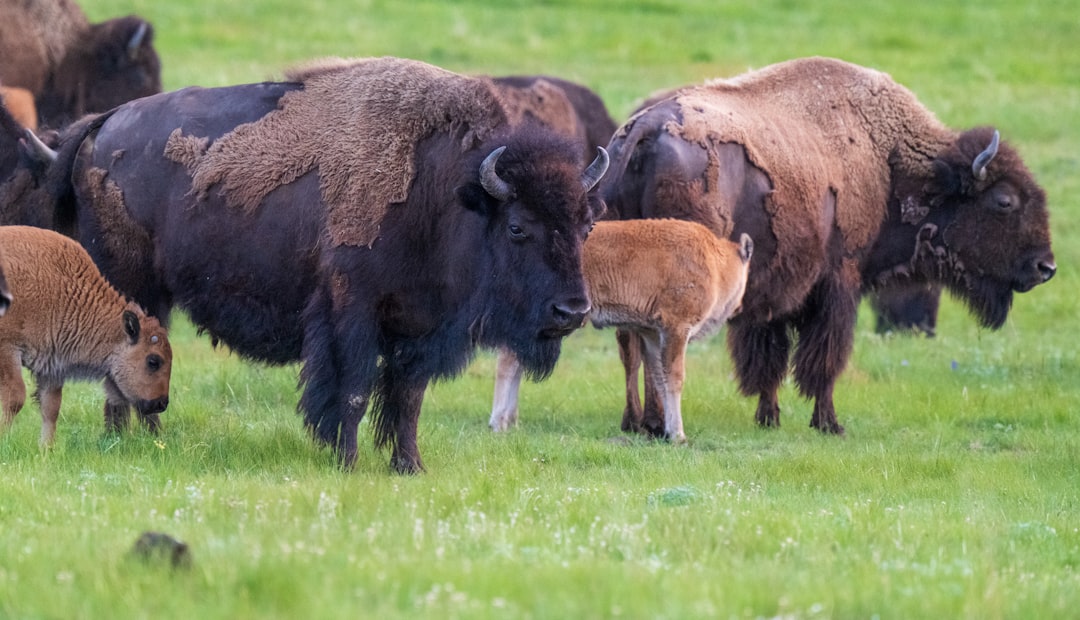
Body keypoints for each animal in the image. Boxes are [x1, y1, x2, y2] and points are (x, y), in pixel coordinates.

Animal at [26, 56, 608, 473]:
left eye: (587, 225)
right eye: (518, 227)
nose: (572, 311)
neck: (446, 192)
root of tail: (105, 124)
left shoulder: (417, 328)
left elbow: (407, 399)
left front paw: (410, 466)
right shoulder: (352, 312)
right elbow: (351, 392)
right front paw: (346, 462)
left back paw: (145, 441)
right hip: (132, 283)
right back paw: (126, 440)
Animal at [601, 57, 1055, 435]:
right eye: (1004, 201)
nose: (1045, 267)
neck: (890, 162)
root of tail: (641, 132)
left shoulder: (771, 295)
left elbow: (769, 360)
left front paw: (769, 418)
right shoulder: (839, 284)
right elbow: (824, 360)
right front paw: (829, 424)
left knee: (631, 344)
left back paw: (637, 422)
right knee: (656, 348)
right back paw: (658, 424)